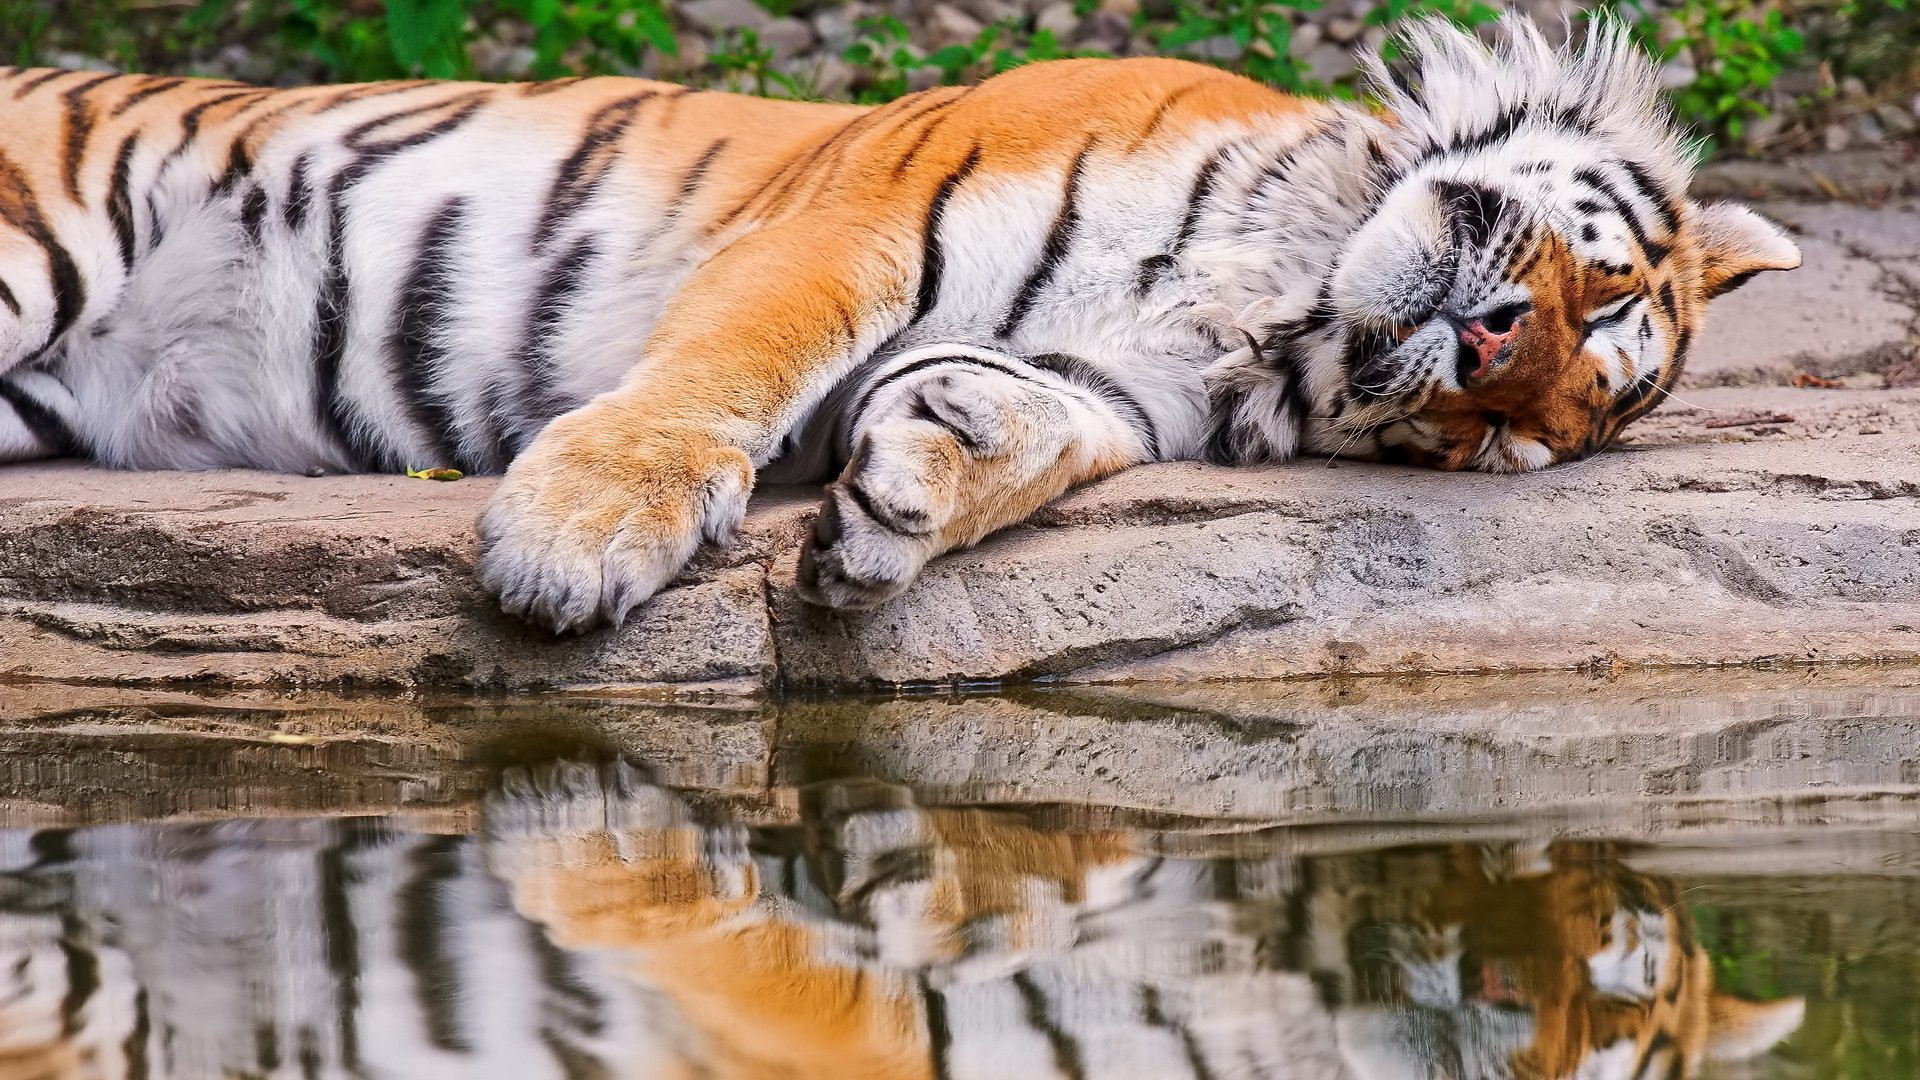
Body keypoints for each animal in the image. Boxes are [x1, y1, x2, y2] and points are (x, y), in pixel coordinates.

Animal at [0, 18, 1797, 630]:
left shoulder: (1109, 390)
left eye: (1511, 443)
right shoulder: (857, 219)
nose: (1493, 362)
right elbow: (726, 371)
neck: (1274, 298)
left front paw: (906, 501)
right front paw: (574, 542)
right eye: (1604, 293)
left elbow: (1027, 429)